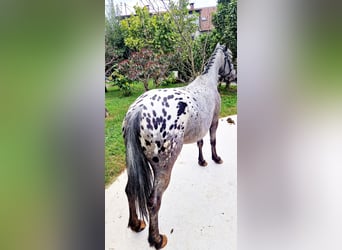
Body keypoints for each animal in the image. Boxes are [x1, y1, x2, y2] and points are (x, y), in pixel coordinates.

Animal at [121, 43, 236, 248]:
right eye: (230, 56)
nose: (234, 76)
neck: (207, 82)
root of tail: (137, 111)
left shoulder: (200, 129)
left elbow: (200, 143)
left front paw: (202, 161)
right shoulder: (214, 121)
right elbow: (212, 141)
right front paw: (215, 158)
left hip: (132, 163)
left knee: (130, 190)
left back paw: (136, 224)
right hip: (163, 168)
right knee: (153, 202)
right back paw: (157, 239)